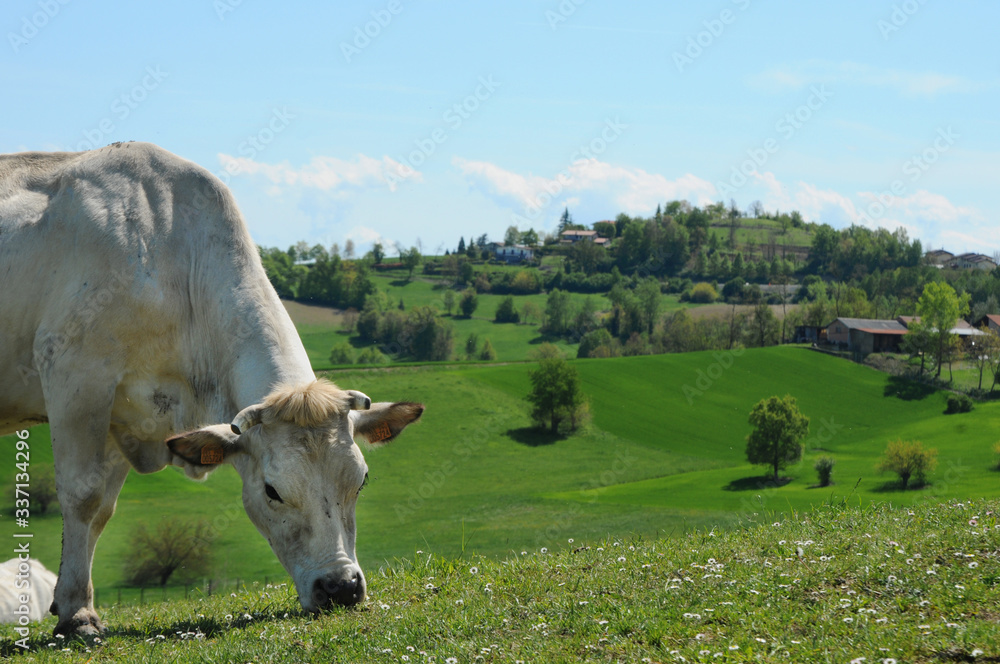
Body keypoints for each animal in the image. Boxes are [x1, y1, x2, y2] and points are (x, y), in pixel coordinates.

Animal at [0, 142, 424, 636]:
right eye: (272, 491)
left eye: (361, 480)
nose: (341, 587)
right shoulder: (77, 375)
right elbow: (82, 497)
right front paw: (77, 614)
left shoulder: (123, 414)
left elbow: (101, 509)